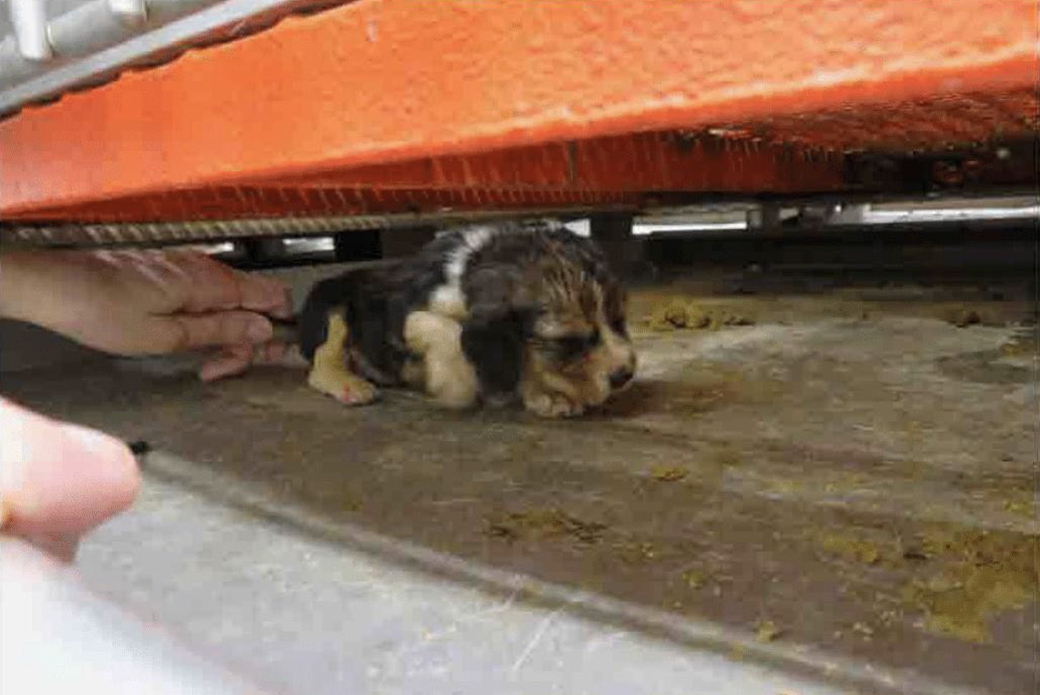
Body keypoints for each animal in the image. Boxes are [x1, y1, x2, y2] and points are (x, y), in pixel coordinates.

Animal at [291, 221, 632, 418]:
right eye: (569, 341)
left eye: (619, 321)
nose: (625, 376)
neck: (471, 265)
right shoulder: (404, 316)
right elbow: (450, 331)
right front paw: (454, 385)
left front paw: (546, 394)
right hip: (333, 306)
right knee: (321, 363)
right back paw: (348, 383)